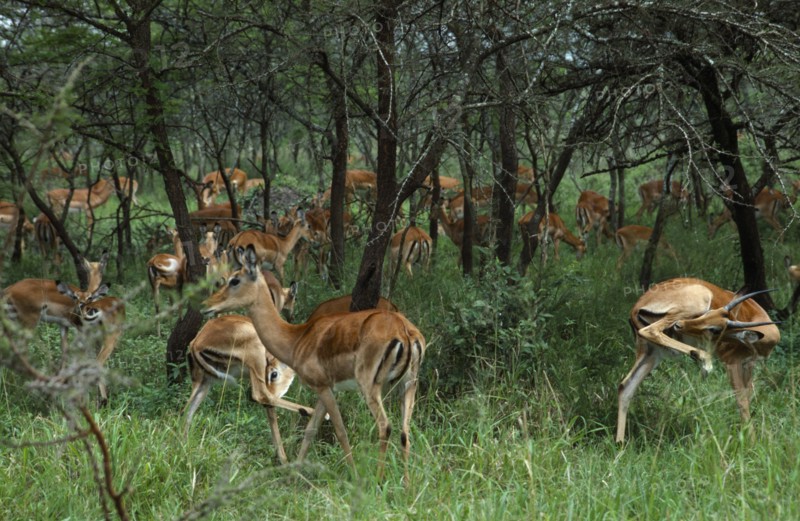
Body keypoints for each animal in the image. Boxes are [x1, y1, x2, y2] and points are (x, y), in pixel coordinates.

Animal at [202, 245, 426, 483]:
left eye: (235, 280)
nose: (207, 305)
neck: (297, 338)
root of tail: (405, 331)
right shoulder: (327, 388)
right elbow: (311, 429)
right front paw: (293, 475)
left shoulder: (322, 387)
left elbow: (339, 430)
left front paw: (354, 475)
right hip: (408, 385)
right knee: (405, 432)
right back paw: (407, 484)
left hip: (370, 387)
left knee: (386, 426)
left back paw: (377, 479)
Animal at [616, 278, 780, 443]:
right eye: (707, 313)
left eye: (714, 329)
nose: (679, 325)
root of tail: (637, 307)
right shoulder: (732, 362)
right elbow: (742, 400)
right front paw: (751, 441)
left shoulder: (748, 364)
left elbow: (748, 395)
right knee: (650, 331)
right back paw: (704, 362)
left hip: (653, 353)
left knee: (625, 386)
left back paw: (620, 444)